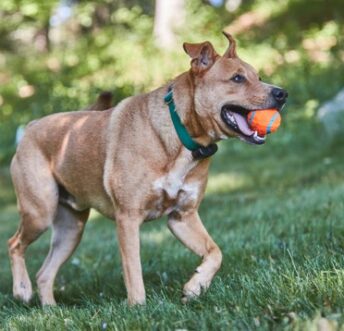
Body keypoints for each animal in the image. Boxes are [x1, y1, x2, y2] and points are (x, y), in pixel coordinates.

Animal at [8, 32, 288, 308]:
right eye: (237, 78)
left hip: (70, 229)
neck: (181, 137)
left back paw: (50, 309)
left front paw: (195, 287)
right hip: (40, 212)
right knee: (14, 245)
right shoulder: (128, 218)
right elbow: (134, 272)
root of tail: (31, 126)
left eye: (258, 77)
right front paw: (138, 309)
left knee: (44, 273)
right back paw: (22, 290)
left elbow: (215, 252)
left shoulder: (182, 217)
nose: (282, 93)